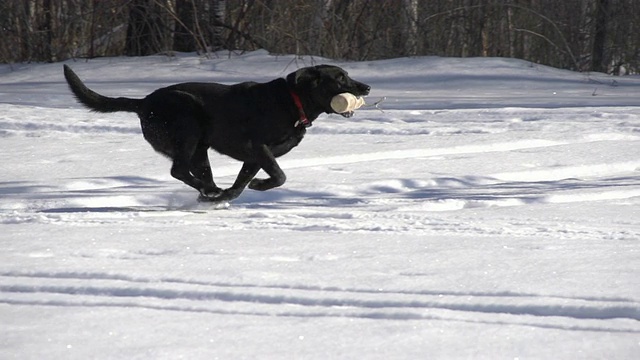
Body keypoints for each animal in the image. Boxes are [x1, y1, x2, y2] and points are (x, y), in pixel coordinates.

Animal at [62, 64, 372, 202]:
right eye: (340, 78)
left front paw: (231, 195)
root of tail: (144, 102)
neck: (293, 102)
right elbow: (279, 175)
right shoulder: (258, 147)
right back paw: (209, 190)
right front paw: (258, 186)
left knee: (194, 173)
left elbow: (241, 183)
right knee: (178, 170)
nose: (367, 87)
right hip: (188, 126)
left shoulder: (254, 157)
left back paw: (209, 193)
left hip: (200, 148)